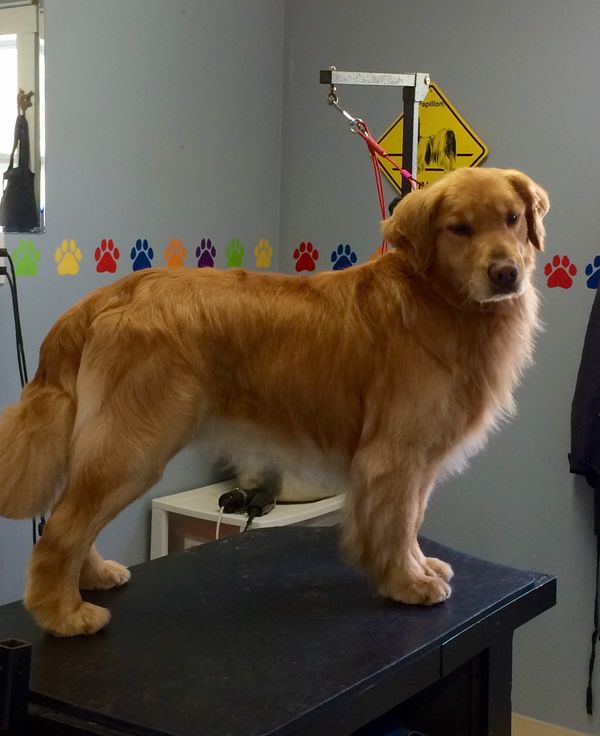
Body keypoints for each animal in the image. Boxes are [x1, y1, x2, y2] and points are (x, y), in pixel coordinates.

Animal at [0, 167, 549, 636]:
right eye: (459, 229)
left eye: (512, 218)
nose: (505, 273)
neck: (439, 297)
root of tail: (108, 296)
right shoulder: (395, 455)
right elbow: (396, 524)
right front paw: (406, 583)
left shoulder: (414, 460)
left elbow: (410, 521)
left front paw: (418, 568)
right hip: (133, 444)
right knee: (62, 526)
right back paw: (62, 613)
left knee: (71, 517)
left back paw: (91, 576)